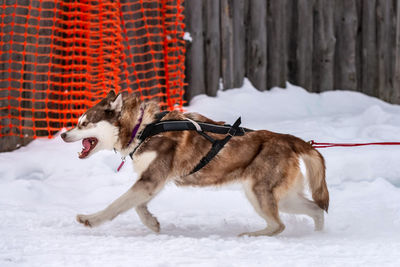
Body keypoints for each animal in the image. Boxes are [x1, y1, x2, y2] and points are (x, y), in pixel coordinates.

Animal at [60, 91, 328, 238]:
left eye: (84, 123)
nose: (62, 134)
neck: (142, 128)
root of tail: (290, 139)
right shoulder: (151, 182)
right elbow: (137, 206)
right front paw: (151, 222)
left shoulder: (151, 180)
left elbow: (116, 204)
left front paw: (91, 219)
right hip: (284, 197)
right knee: (315, 210)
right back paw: (318, 235)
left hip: (259, 192)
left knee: (278, 225)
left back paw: (250, 235)